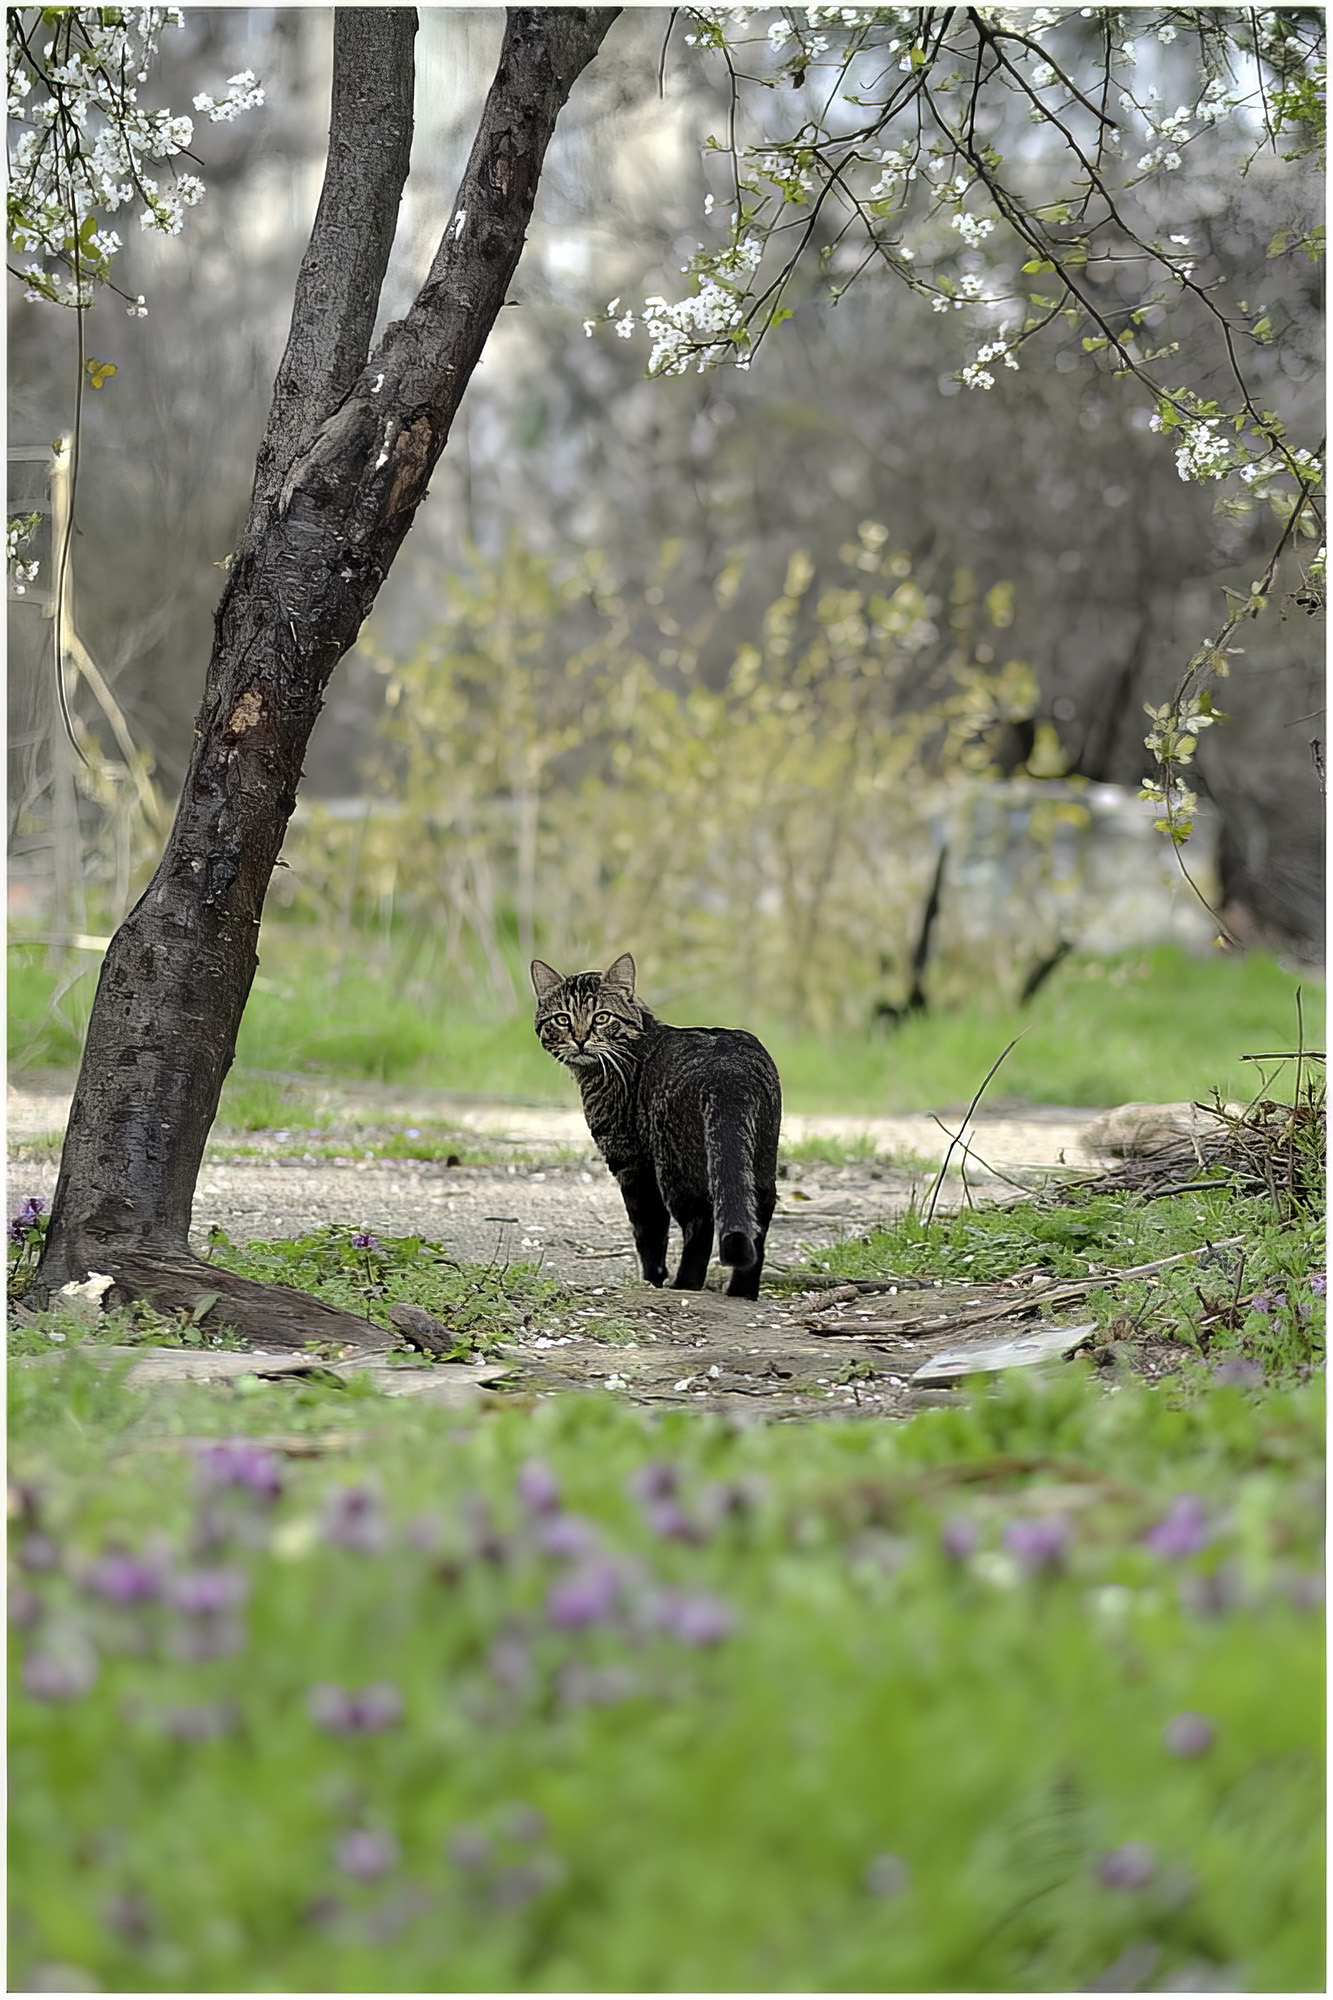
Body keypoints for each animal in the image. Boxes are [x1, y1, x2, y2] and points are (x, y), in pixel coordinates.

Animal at [528, 956, 780, 1304]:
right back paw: (742, 1293)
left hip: (676, 1167)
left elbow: (647, 1231)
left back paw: (684, 1284)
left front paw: (652, 1279)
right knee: (758, 1217)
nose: (579, 1039)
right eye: (563, 1019)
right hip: (761, 1159)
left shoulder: (631, 1163)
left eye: (601, 1017)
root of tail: (730, 1073)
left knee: (700, 1222)